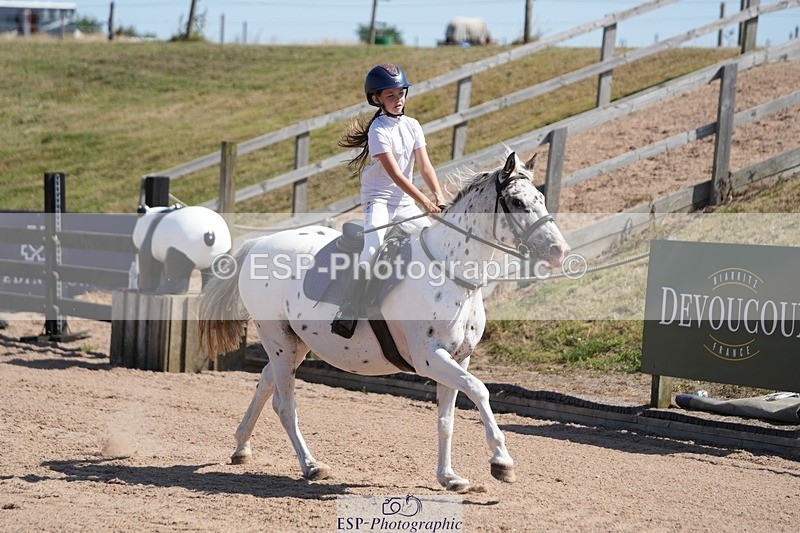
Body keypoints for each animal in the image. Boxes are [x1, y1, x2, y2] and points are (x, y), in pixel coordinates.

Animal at [199, 151, 570, 491]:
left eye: (540, 198)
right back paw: (311, 465)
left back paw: (242, 447)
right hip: (279, 340)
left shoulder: (458, 357)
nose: (559, 251)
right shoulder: (430, 358)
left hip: (295, 343)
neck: (451, 273)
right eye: (517, 202)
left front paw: (449, 477)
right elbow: (480, 390)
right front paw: (501, 461)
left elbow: (447, 418)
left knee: (265, 382)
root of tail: (259, 243)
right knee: (284, 404)